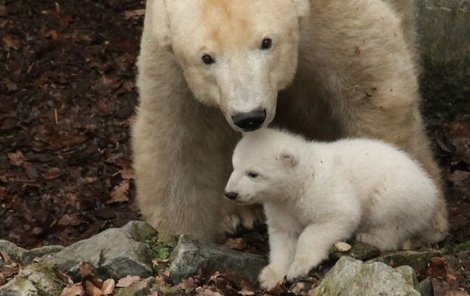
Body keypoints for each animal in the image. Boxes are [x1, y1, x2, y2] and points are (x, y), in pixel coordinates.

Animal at [131, 0, 448, 242]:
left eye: (266, 42)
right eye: (206, 57)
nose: (249, 117)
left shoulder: (337, 20)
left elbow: (375, 89)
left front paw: (421, 221)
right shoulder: (169, 59)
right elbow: (178, 136)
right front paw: (182, 232)